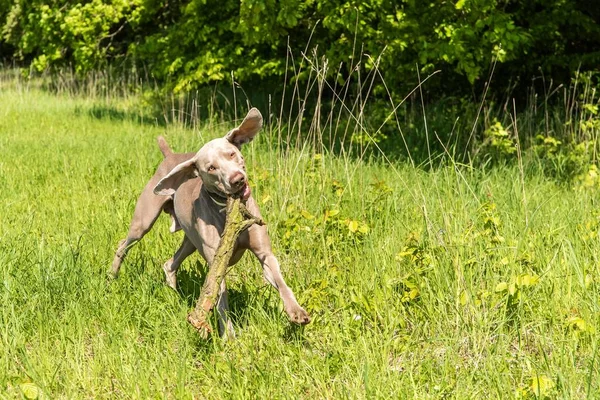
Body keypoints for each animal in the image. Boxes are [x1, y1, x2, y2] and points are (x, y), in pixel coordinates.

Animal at [110, 107, 312, 334]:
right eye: (211, 168)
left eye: (231, 154)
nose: (237, 179)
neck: (226, 210)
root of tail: (171, 155)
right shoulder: (217, 263)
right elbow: (220, 300)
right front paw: (228, 337)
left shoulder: (264, 253)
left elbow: (279, 279)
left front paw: (296, 311)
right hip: (144, 221)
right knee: (124, 244)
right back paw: (112, 276)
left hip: (190, 240)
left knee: (170, 264)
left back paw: (173, 294)